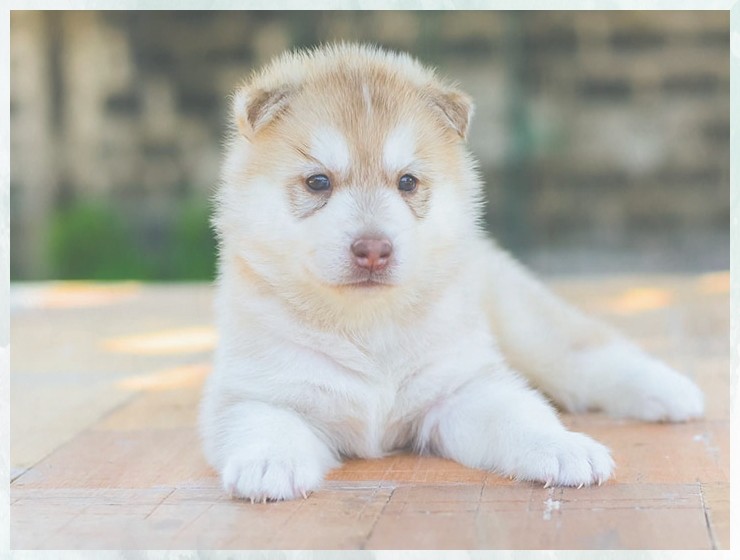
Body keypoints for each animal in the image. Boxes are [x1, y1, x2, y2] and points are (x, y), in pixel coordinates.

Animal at [198, 41, 704, 500]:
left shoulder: (462, 387)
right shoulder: (254, 390)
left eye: (407, 182)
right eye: (318, 182)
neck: (367, 328)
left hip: (527, 328)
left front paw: (562, 447)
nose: (373, 250)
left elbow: (520, 416)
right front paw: (269, 462)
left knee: (589, 356)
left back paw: (672, 391)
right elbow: (265, 420)